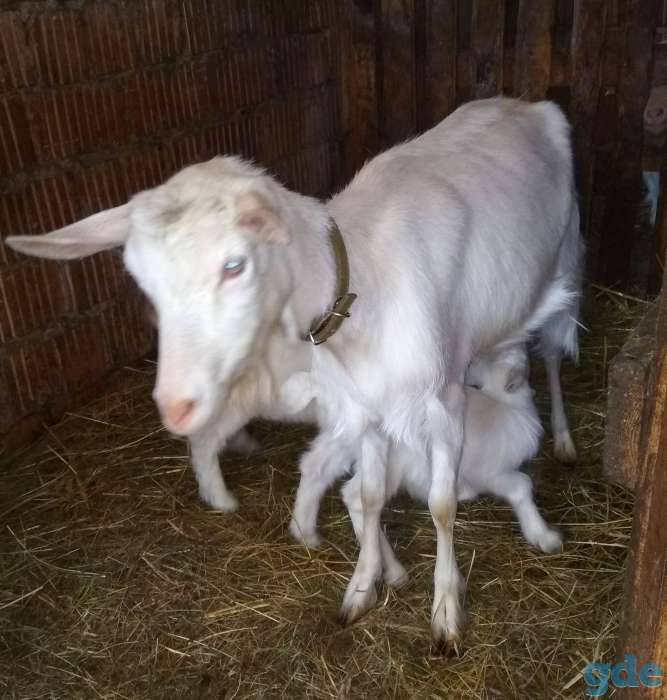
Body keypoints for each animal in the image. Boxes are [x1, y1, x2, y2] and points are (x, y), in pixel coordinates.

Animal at [7, 96, 583, 647]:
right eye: (140, 277)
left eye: (234, 265)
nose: (175, 405)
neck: (365, 291)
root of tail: (524, 105)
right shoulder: (365, 407)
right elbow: (369, 497)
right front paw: (362, 589)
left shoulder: (445, 401)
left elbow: (442, 507)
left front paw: (445, 611)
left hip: (568, 266)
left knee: (555, 356)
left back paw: (563, 438)